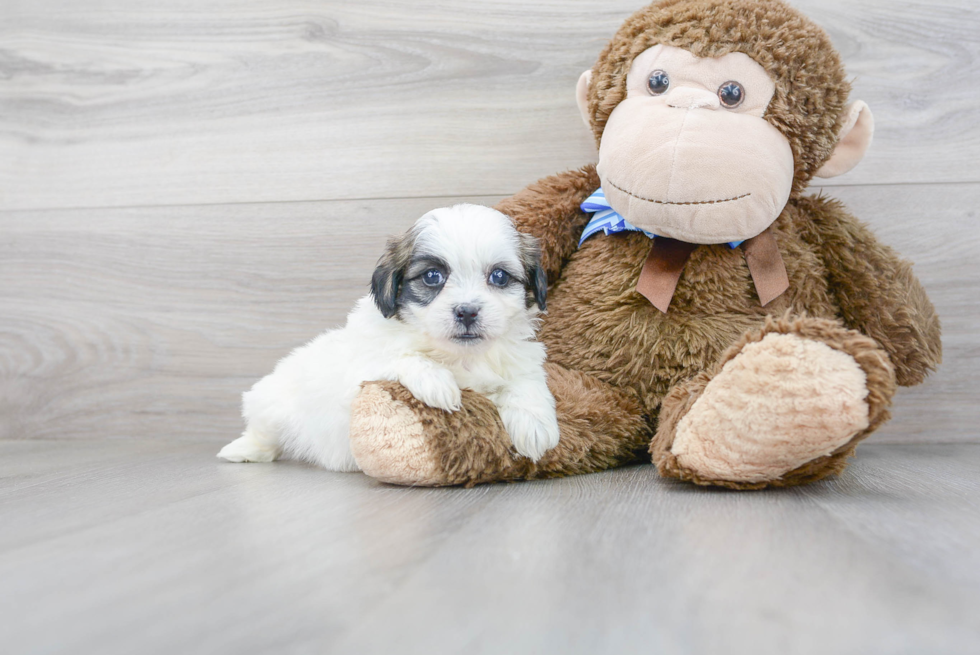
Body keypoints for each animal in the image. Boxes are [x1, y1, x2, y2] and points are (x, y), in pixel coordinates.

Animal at [219, 202, 564, 468]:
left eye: (500, 277)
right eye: (432, 276)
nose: (467, 311)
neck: (457, 356)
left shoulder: (523, 361)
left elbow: (526, 383)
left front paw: (534, 426)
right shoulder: (360, 371)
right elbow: (398, 356)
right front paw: (436, 381)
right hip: (271, 402)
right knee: (264, 433)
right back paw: (243, 450)